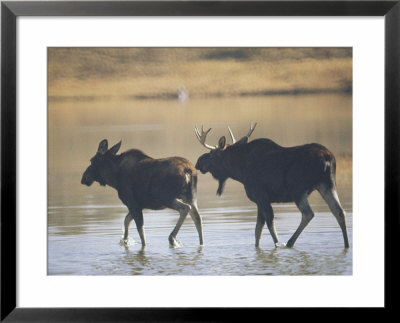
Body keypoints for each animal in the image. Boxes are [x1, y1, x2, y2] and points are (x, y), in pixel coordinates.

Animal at [195, 123, 348, 249]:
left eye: (212, 154)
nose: (198, 162)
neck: (238, 171)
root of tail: (328, 158)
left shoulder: (261, 196)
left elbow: (269, 225)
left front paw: (277, 245)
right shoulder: (259, 201)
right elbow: (257, 231)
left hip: (297, 189)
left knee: (308, 213)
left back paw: (289, 242)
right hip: (327, 184)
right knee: (339, 211)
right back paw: (346, 244)